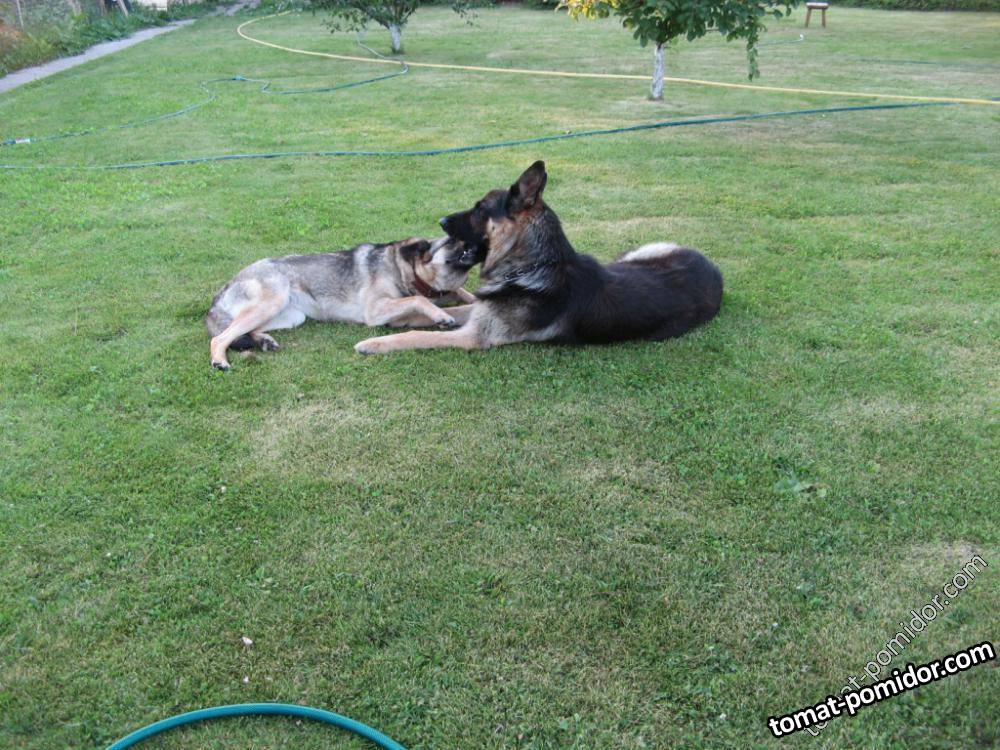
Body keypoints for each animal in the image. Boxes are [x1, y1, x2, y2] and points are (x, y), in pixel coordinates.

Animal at [207, 237, 478, 369]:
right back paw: (220, 360)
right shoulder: (375, 310)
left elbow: (461, 292)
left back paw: (264, 341)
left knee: (243, 330)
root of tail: (227, 286)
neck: (402, 269)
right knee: (220, 338)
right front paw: (440, 315)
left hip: (291, 316)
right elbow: (418, 298)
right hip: (273, 301)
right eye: (452, 242)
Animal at [354, 161, 723, 355]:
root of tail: (715, 271)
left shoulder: (475, 337)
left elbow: (419, 336)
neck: (529, 266)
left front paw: (376, 341)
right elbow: (443, 312)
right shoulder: (482, 311)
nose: (441, 221)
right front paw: (412, 317)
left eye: (479, 209)